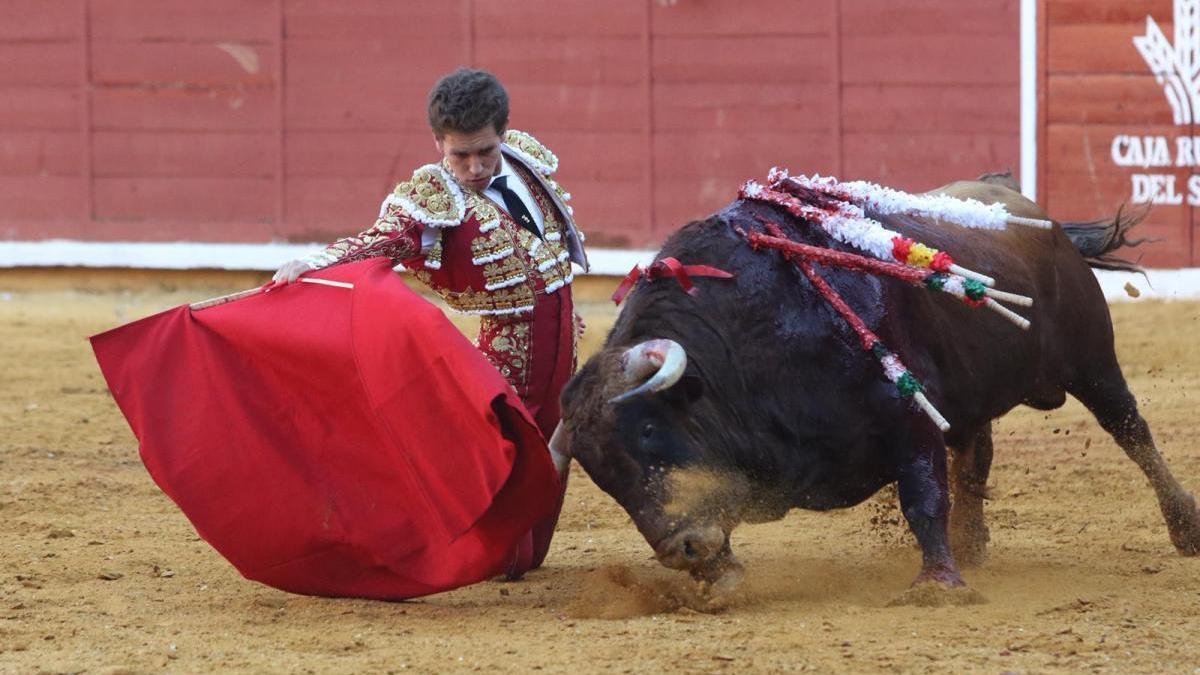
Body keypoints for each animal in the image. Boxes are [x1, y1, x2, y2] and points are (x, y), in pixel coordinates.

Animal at [559, 178, 1200, 588]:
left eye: (647, 428)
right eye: (597, 471)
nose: (681, 551)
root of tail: (1038, 216)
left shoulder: (907, 416)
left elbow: (922, 496)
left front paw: (937, 585)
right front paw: (721, 579)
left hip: (1093, 360)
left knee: (1132, 432)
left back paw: (1185, 528)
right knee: (976, 454)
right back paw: (973, 541)